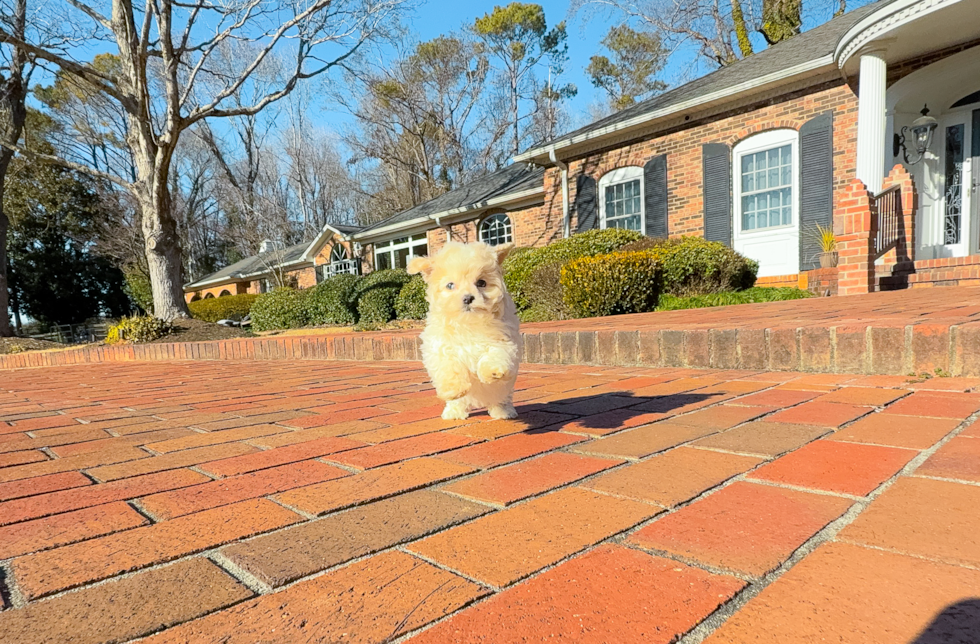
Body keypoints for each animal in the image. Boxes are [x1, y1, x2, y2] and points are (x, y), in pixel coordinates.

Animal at [406, 242, 520, 422]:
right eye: (450, 285)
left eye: (481, 283)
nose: (467, 298)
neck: (468, 322)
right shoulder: (440, 347)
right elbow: (449, 367)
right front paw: (453, 389)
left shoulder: (504, 339)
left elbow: (495, 353)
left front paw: (493, 371)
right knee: (459, 403)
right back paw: (454, 412)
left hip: (504, 390)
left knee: (501, 397)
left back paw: (504, 411)